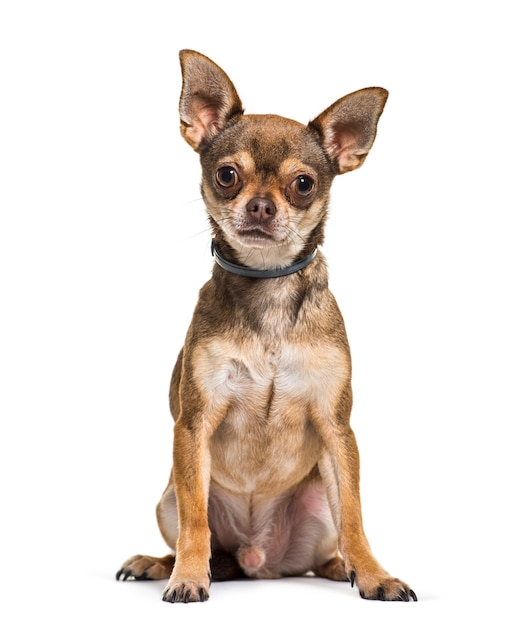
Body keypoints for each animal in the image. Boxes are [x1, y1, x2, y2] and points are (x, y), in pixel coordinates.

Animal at [117, 46, 418, 604]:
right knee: (201, 534)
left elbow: (356, 518)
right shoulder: (193, 426)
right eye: (227, 175)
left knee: (325, 551)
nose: (260, 204)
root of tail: (261, 562)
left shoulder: (336, 428)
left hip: (318, 504)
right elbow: (195, 522)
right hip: (168, 497)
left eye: (304, 184)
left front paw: (375, 575)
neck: (269, 288)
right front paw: (187, 576)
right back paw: (161, 564)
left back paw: (341, 568)